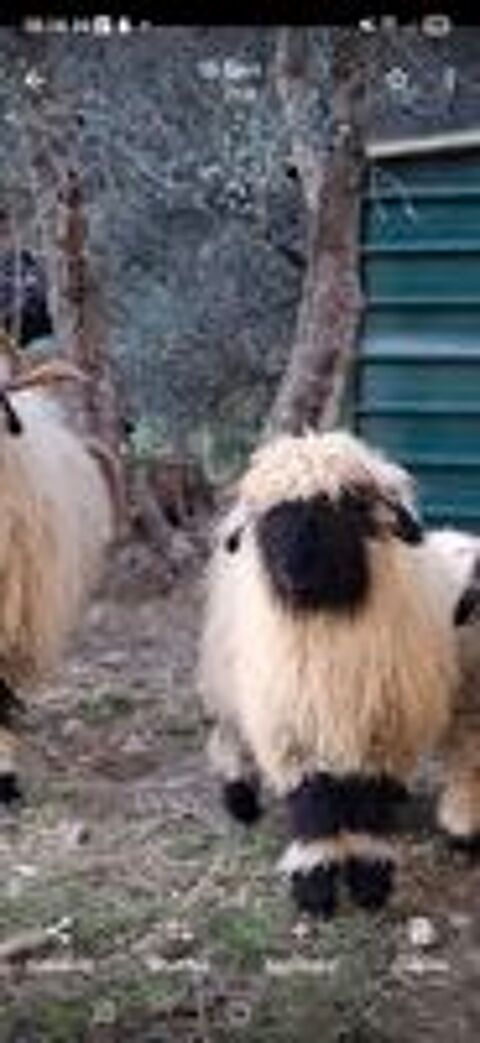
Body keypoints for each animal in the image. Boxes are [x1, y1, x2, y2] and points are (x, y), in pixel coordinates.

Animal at [198, 429, 460, 917]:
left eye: (348, 507)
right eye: (269, 517)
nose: (294, 576)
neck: (327, 628)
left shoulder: (383, 726)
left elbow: (366, 803)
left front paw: (370, 878)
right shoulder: (291, 726)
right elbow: (313, 803)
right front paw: (315, 885)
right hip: (226, 674)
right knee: (227, 733)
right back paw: (240, 799)